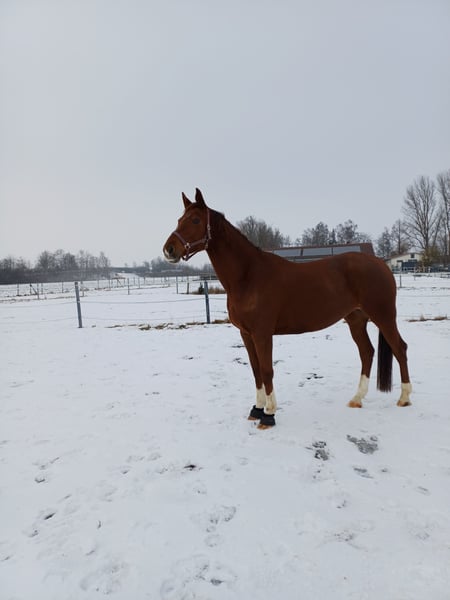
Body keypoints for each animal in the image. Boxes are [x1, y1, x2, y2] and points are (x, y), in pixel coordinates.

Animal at [163, 188, 412, 429]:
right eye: (179, 219)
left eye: (195, 220)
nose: (169, 249)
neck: (248, 276)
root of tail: (381, 264)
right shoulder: (246, 334)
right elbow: (255, 370)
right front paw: (256, 409)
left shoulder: (262, 334)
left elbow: (266, 370)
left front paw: (269, 415)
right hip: (356, 319)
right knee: (367, 352)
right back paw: (357, 399)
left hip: (383, 316)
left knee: (399, 348)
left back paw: (404, 399)